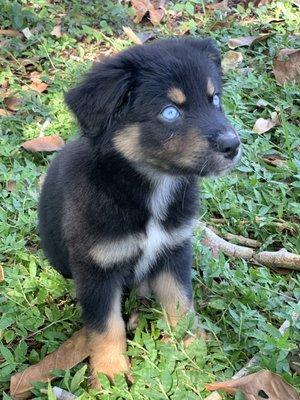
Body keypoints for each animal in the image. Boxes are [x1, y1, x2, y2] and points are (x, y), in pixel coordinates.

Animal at [38, 38, 241, 388]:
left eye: (214, 99)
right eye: (170, 112)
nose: (233, 145)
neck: (150, 185)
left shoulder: (174, 248)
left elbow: (181, 302)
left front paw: (194, 350)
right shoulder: (96, 268)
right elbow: (106, 326)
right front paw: (110, 374)